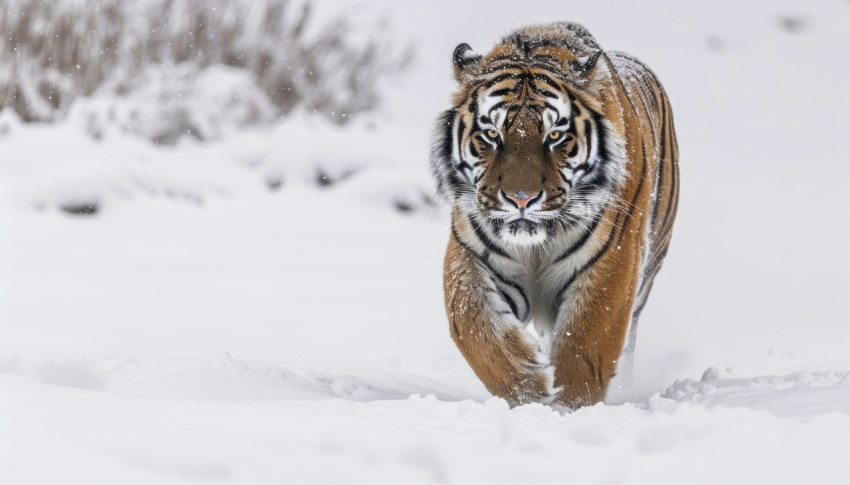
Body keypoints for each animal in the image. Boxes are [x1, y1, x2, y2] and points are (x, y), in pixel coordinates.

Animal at [430, 22, 676, 408]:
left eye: (555, 134)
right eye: (492, 133)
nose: (521, 199)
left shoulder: (614, 260)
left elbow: (586, 341)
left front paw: (567, 406)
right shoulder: (471, 255)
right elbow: (475, 326)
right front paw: (527, 386)